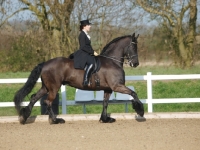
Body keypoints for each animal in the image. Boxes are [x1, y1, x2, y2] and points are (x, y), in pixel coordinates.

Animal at [13, 32, 144, 124]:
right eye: (134, 47)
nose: (136, 63)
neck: (112, 61)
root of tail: (45, 64)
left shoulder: (108, 89)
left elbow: (105, 103)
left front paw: (105, 119)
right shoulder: (117, 86)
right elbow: (134, 93)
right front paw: (140, 111)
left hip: (46, 87)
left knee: (34, 98)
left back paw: (24, 117)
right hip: (54, 87)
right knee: (48, 101)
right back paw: (55, 120)